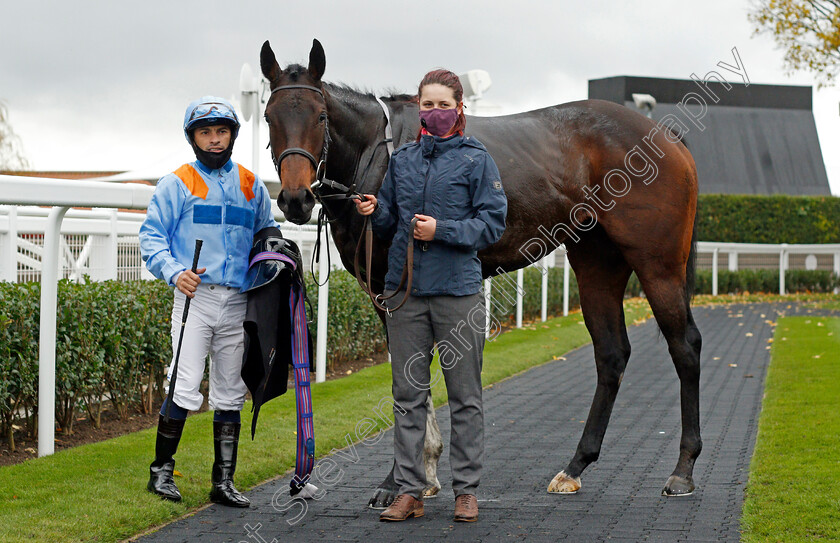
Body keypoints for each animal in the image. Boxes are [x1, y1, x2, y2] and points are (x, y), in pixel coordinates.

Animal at [260, 37, 704, 506]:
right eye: (270, 116)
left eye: (321, 115)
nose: (294, 200)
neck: (377, 153)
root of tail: (666, 135)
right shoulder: (386, 293)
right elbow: (411, 371)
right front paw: (426, 472)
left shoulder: (392, 286)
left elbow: (409, 373)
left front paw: (397, 481)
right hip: (597, 265)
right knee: (612, 354)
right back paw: (575, 466)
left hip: (658, 266)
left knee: (685, 347)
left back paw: (683, 470)